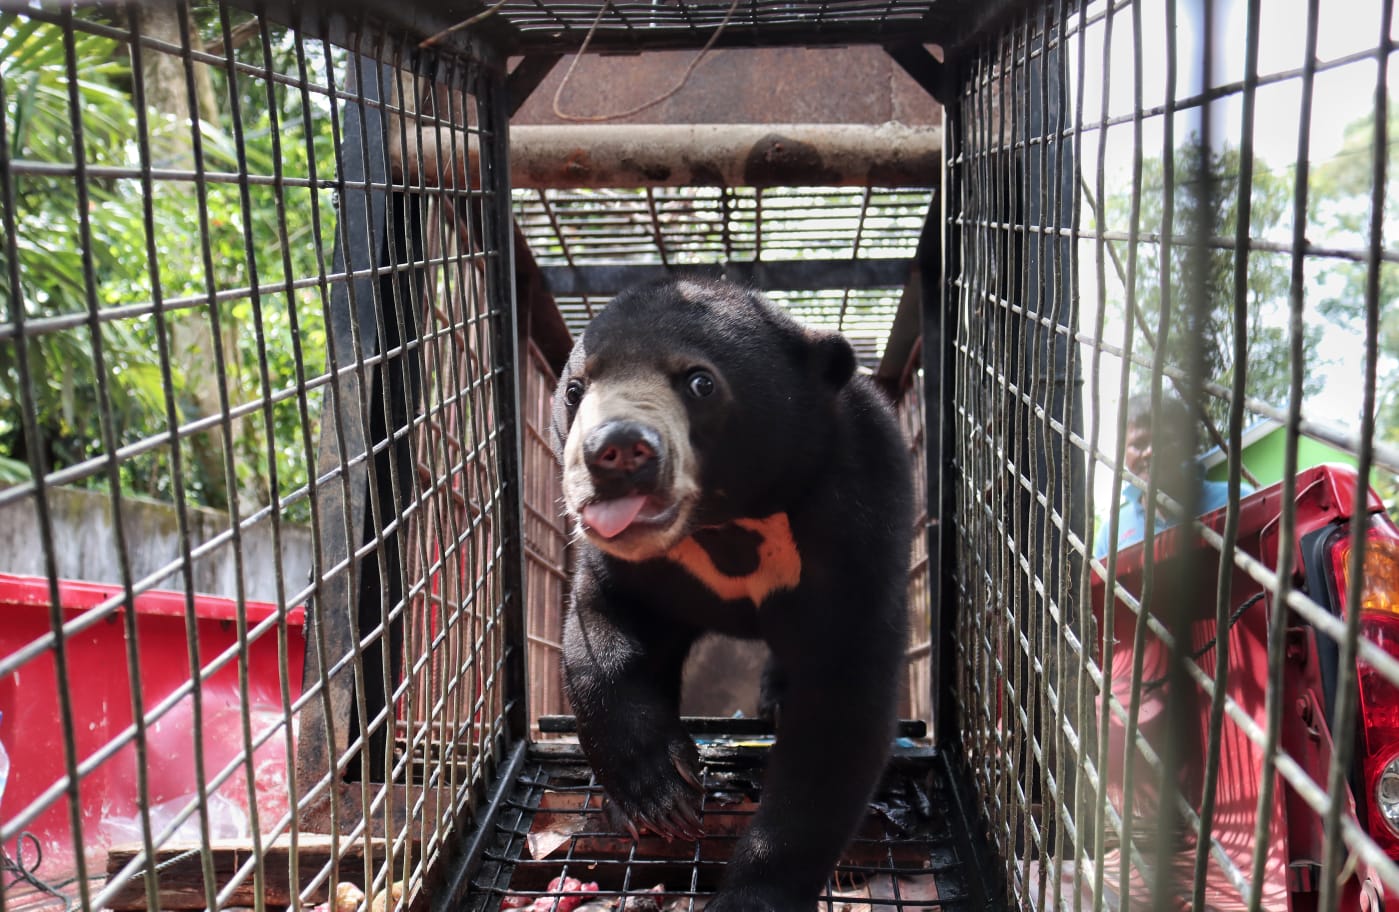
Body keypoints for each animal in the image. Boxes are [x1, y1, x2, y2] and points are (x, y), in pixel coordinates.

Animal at [551, 279, 912, 911]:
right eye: (576, 388)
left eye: (701, 382)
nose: (615, 450)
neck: (724, 522)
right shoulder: (636, 565)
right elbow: (603, 631)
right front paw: (659, 792)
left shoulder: (859, 524)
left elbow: (838, 713)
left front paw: (753, 894)